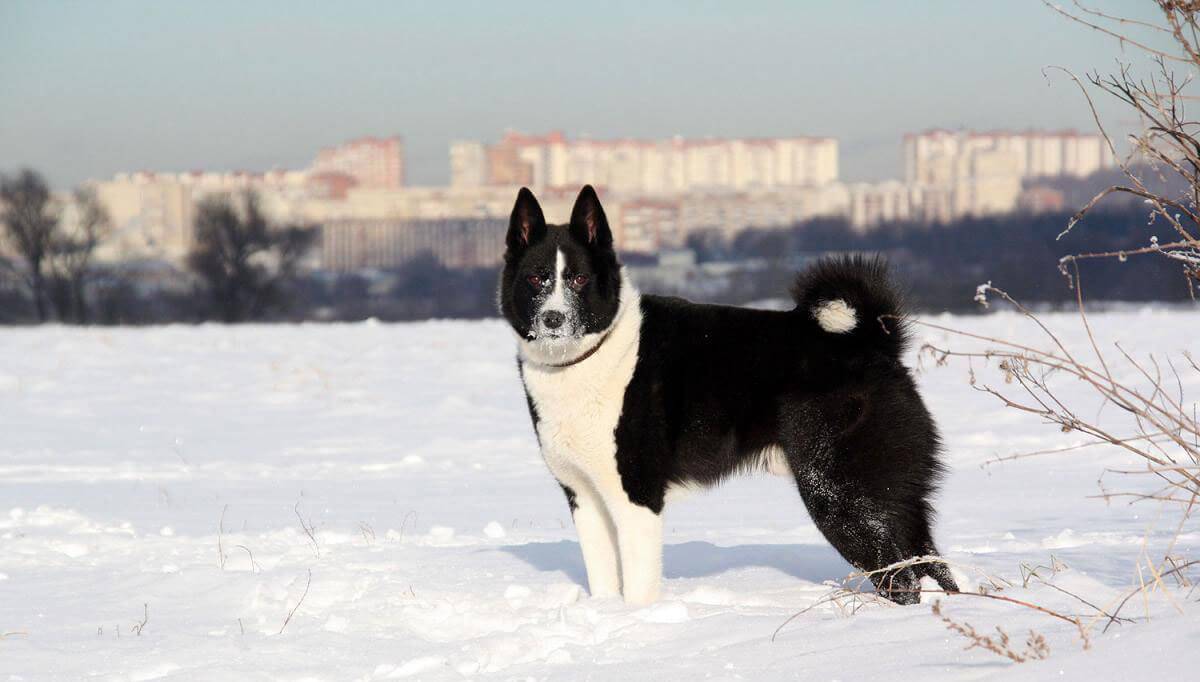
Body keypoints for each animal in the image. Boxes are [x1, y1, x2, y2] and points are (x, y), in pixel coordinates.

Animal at [496, 183, 955, 605]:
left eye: (578, 278)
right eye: (536, 278)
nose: (553, 319)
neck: (592, 354)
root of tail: (873, 344)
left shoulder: (636, 497)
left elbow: (639, 587)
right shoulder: (585, 499)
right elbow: (604, 581)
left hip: (842, 495)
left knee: (903, 579)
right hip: (891, 499)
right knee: (932, 567)